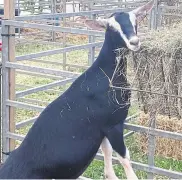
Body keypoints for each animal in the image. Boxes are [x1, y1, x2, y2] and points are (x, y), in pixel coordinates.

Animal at [0, 0, 154, 179]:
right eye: (111, 27)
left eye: (135, 22)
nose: (134, 42)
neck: (106, 74)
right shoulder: (113, 123)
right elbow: (124, 157)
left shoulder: (102, 129)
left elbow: (107, 152)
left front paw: (110, 174)